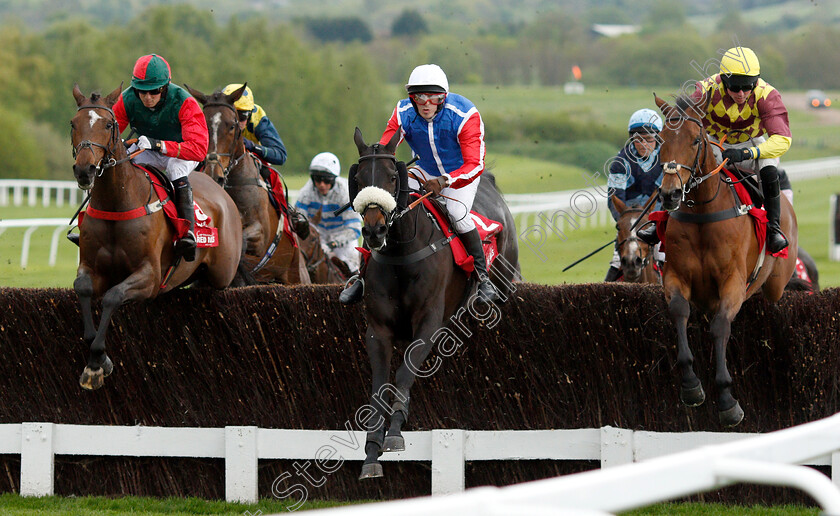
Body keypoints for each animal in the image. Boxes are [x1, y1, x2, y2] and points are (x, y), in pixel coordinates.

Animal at [71, 84, 244, 390]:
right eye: (73, 123)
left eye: (108, 125)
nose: (84, 170)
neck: (117, 203)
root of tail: (220, 190)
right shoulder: (91, 267)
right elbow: (83, 288)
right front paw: (97, 359)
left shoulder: (150, 277)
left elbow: (113, 297)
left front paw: (97, 361)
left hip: (223, 272)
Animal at [185, 85, 310, 286]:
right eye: (203, 124)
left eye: (232, 125)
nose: (214, 174)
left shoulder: (260, 236)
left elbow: (241, 242)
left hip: (295, 275)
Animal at [348, 128, 520, 480]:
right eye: (358, 178)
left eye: (391, 176)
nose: (374, 230)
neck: (402, 252)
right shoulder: (378, 330)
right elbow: (378, 388)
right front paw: (371, 453)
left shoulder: (429, 323)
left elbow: (404, 373)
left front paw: (395, 434)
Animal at [652, 93, 796, 428]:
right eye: (660, 140)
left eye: (695, 140)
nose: (670, 194)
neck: (704, 215)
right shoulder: (675, 275)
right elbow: (679, 310)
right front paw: (691, 386)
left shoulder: (733, 283)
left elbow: (720, 327)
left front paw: (728, 402)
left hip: (776, 283)